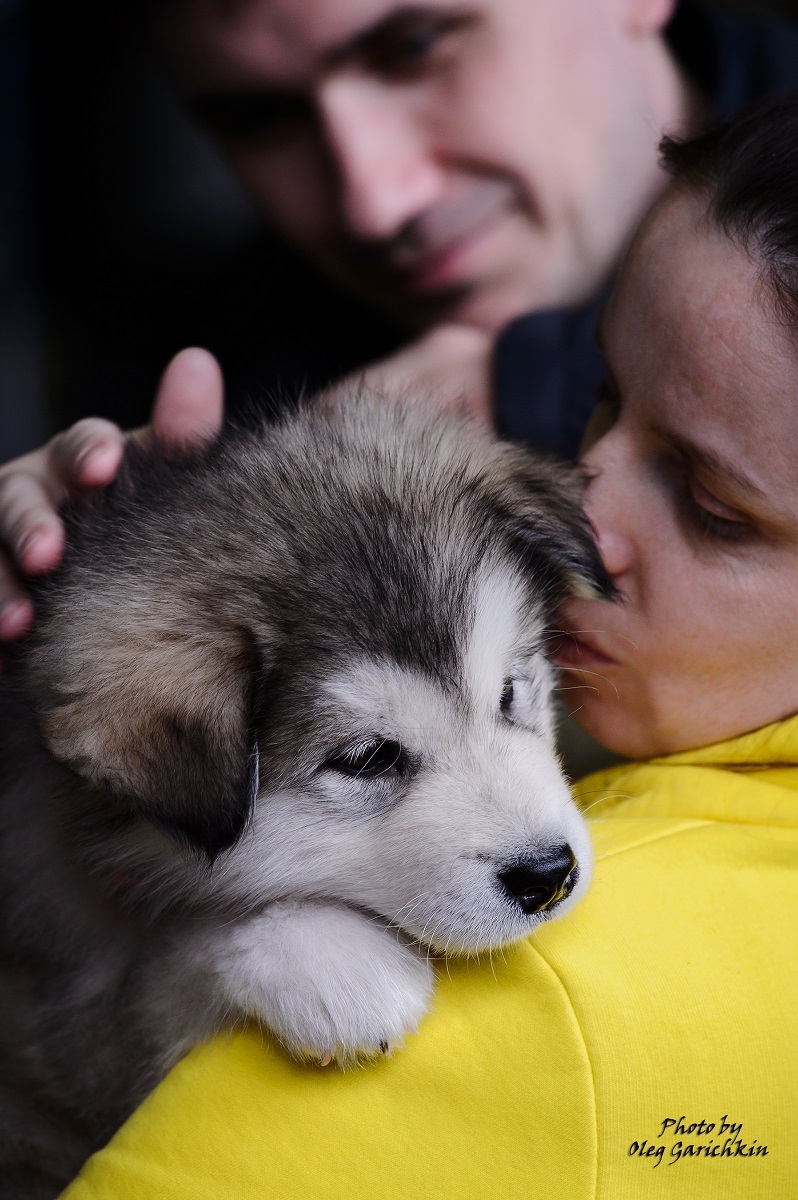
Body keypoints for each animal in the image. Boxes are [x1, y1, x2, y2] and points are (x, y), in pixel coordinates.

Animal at [0, 391, 609, 1190]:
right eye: (367, 758)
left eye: (510, 692)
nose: (548, 875)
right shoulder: (67, 1026)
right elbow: (173, 954)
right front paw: (333, 960)